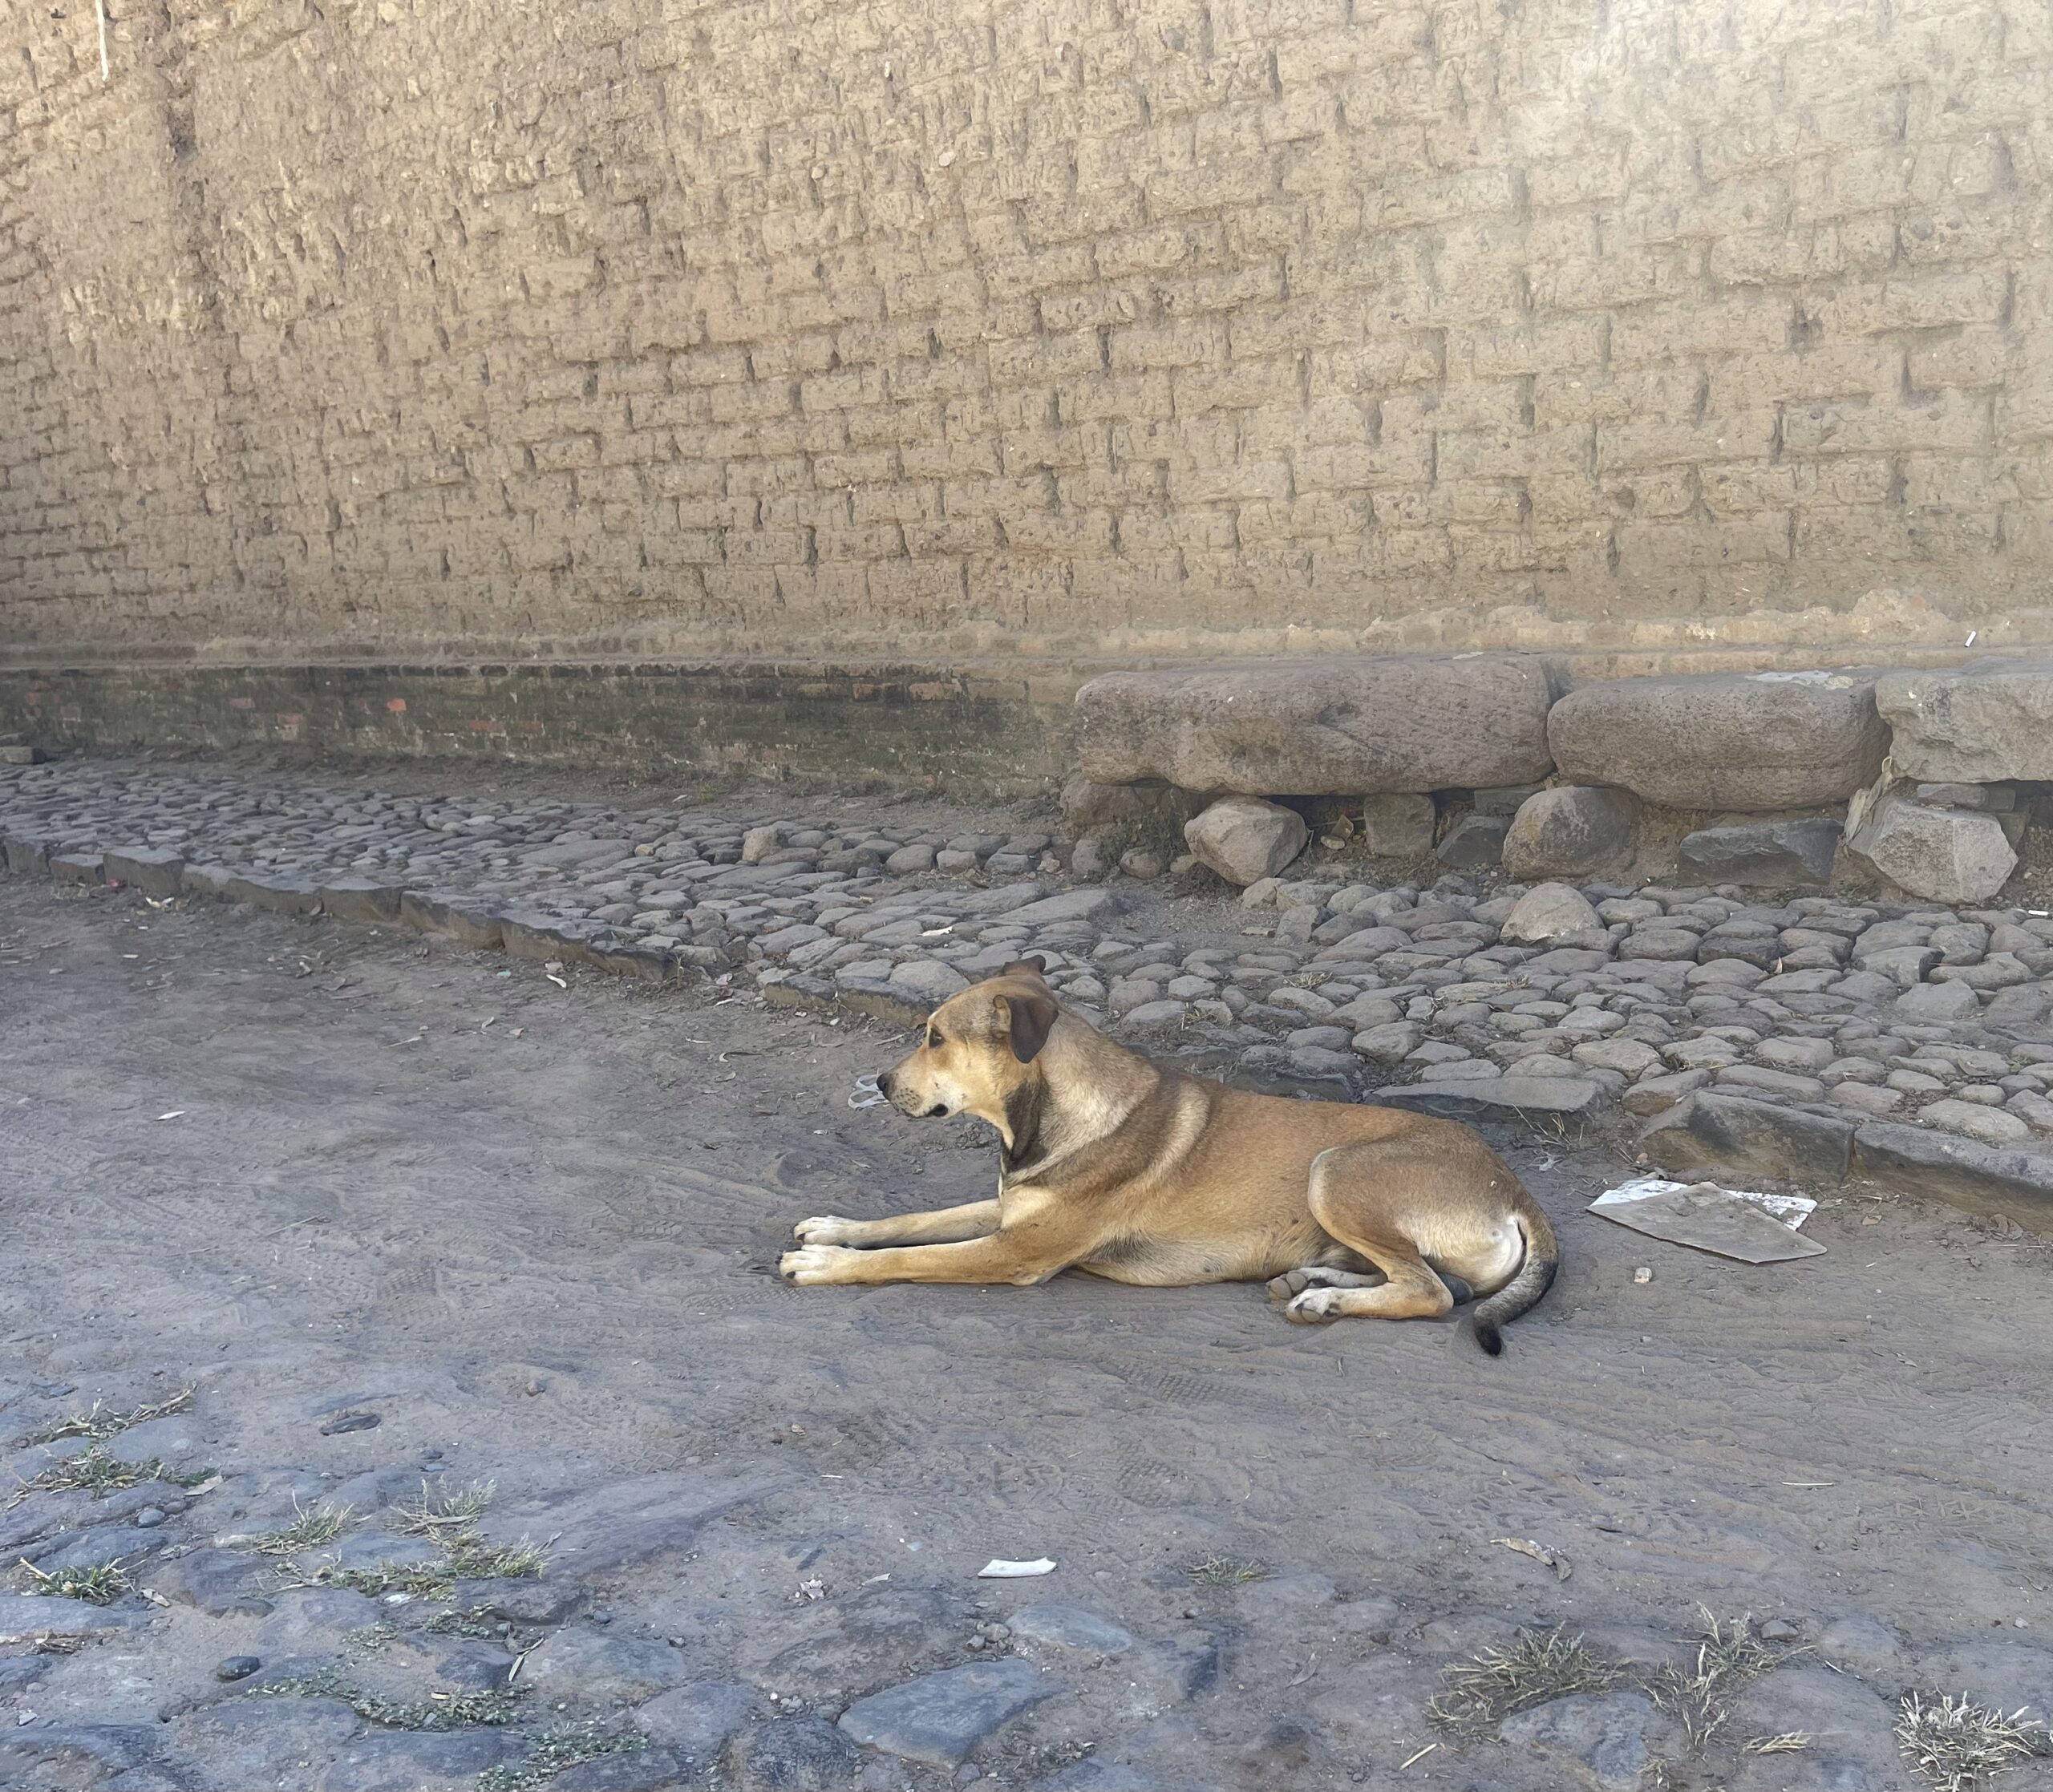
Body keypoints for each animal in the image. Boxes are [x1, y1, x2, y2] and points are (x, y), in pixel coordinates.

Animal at [781, 959, 1557, 1354]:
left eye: (936, 1037)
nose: (881, 1083)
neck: (1052, 1114)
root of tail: (1518, 1190)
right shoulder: (1008, 1212)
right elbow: (912, 1221)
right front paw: (832, 1228)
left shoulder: (1015, 1251)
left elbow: (909, 1257)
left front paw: (824, 1264)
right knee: (1432, 1282)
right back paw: (1310, 1280)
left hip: (1334, 1168)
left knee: (1431, 1292)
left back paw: (1324, 1298)